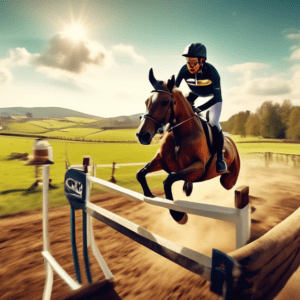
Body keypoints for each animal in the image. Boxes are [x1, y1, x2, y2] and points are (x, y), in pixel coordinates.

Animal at [135, 69, 240, 224]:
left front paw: (178, 215)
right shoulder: (161, 161)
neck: (180, 134)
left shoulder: (198, 167)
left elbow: (169, 180)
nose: (142, 135)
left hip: (228, 179)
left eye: (164, 102)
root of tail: (231, 141)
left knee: (229, 185)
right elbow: (140, 173)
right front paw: (149, 195)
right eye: (146, 101)